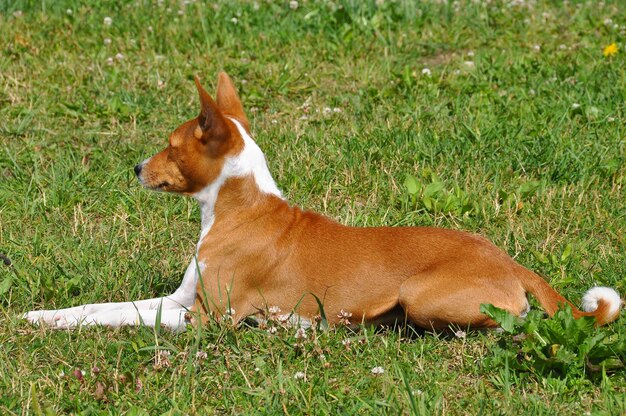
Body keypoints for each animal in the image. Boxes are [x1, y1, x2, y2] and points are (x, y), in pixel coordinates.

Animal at [23, 72, 620, 332]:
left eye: (169, 147)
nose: (136, 168)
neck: (237, 211)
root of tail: (509, 261)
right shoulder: (179, 300)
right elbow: (105, 308)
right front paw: (46, 316)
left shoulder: (207, 318)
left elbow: (125, 320)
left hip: (421, 296)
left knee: (503, 324)